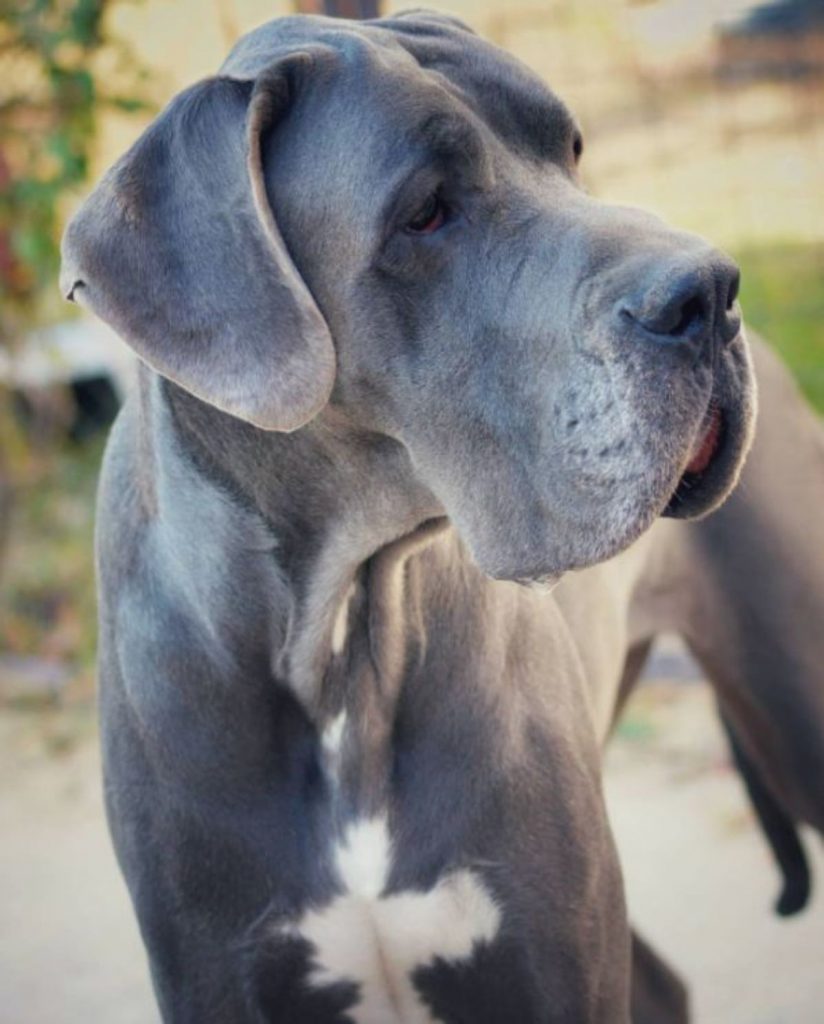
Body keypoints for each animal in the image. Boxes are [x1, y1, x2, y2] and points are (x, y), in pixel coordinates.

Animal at [57, 9, 822, 1024]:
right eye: (424, 212)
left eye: (570, 151)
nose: (710, 292)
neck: (337, 637)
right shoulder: (216, 972)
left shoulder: (551, 955)